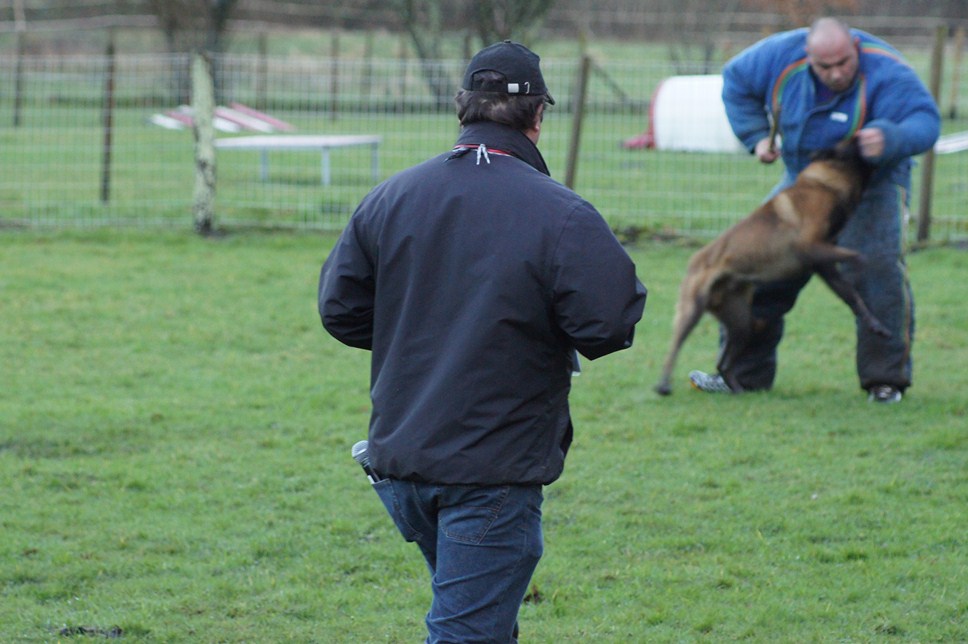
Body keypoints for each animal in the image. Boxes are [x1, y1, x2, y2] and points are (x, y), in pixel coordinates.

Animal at [656, 138, 888, 394]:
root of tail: (695, 260)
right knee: (674, 347)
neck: (824, 184)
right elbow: (857, 256)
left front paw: (874, 323)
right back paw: (663, 385)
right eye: (854, 143)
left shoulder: (824, 266)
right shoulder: (808, 246)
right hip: (693, 309)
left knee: (723, 364)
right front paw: (867, 263)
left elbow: (852, 296)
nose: (873, 141)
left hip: (742, 323)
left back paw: (738, 391)